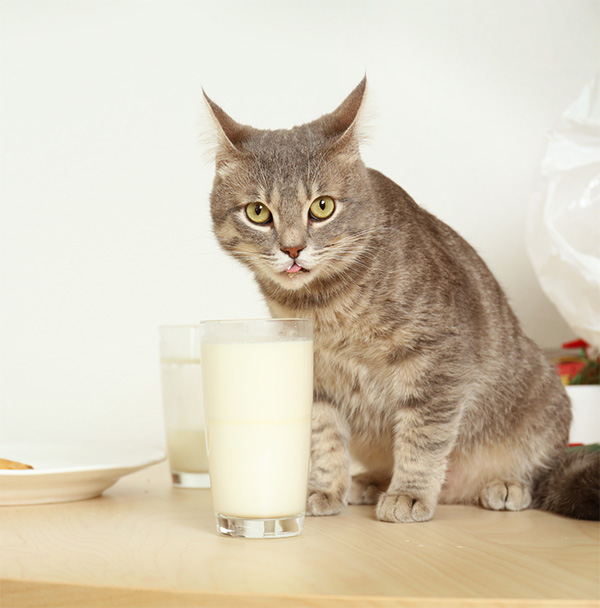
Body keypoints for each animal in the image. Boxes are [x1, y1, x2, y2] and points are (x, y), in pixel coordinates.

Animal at [204, 77, 596, 524]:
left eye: (322, 206)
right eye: (257, 212)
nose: (292, 249)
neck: (324, 307)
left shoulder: (440, 360)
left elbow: (424, 436)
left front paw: (409, 493)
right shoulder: (316, 377)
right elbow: (323, 439)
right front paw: (326, 488)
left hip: (543, 405)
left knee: (538, 471)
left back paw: (504, 483)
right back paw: (371, 481)